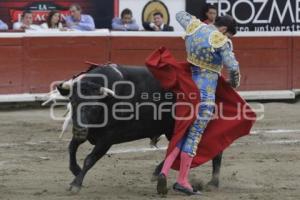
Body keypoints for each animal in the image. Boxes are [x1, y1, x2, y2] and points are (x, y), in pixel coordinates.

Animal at [48, 64, 223, 192]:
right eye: (72, 101)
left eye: (95, 106)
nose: (80, 130)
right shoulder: (87, 133)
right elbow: (71, 148)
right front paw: (76, 171)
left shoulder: (107, 138)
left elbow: (90, 159)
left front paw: (75, 184)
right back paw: (159, 175)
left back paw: (213, 182)